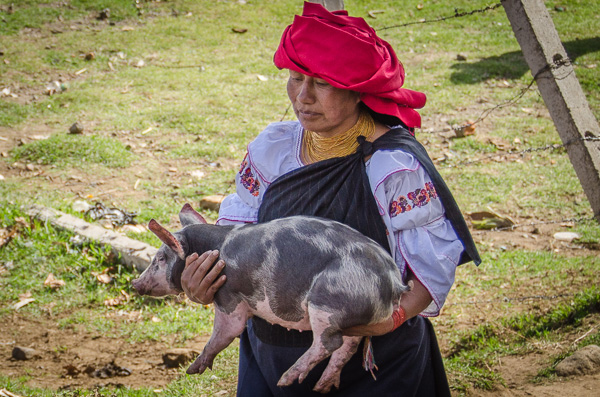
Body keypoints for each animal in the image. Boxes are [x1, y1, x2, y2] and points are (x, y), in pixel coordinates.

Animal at [132, 204, 410, 392]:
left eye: (160, 258)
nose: (135, 284)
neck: (214, 247)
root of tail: (393, 282)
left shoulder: (229, 296)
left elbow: (225, 331)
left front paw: (192, 370)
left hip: (328, 300)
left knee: (329, 342)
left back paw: (286, 380)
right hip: (353, 319)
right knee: (347, 347)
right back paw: (323, 385)